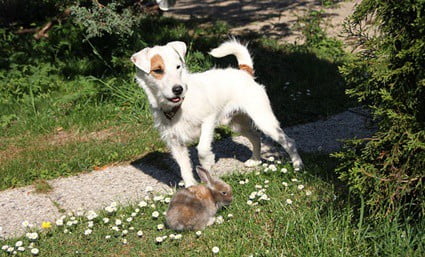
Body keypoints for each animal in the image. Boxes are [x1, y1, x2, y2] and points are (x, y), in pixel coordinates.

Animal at [131, 39, 300, 185]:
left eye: (178, 67)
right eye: (158, 70)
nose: (178, 89)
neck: (179, 106)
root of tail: (244, 72)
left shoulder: (208, 120)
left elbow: (202, 149)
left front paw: (208, 164)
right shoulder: (175, 142)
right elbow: (184, 169)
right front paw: (191, 188)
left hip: (263, 120)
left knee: (288, 141)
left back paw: (298, 165)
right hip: (236, 124)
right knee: (255, 137)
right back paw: (255, 160)